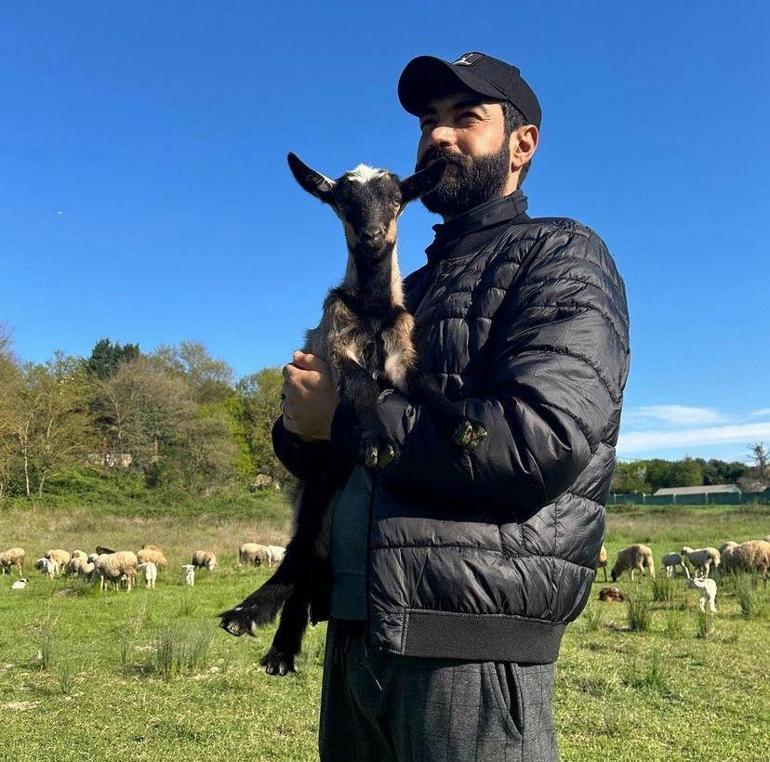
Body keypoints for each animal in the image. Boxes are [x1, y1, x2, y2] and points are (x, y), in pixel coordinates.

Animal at [219, 153, 486, 672]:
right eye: (343, 202)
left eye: (397, 198)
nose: (372, 236)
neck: (372, 310)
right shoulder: (336, 349)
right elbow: (362, 384)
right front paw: (379, 443)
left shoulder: (402, 356)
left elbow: (427, 384)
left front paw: (464, 426)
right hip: (313, 489)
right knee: (298, 553)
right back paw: (252, 621)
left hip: (326, 487)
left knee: (312, 557)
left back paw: (281, 645)